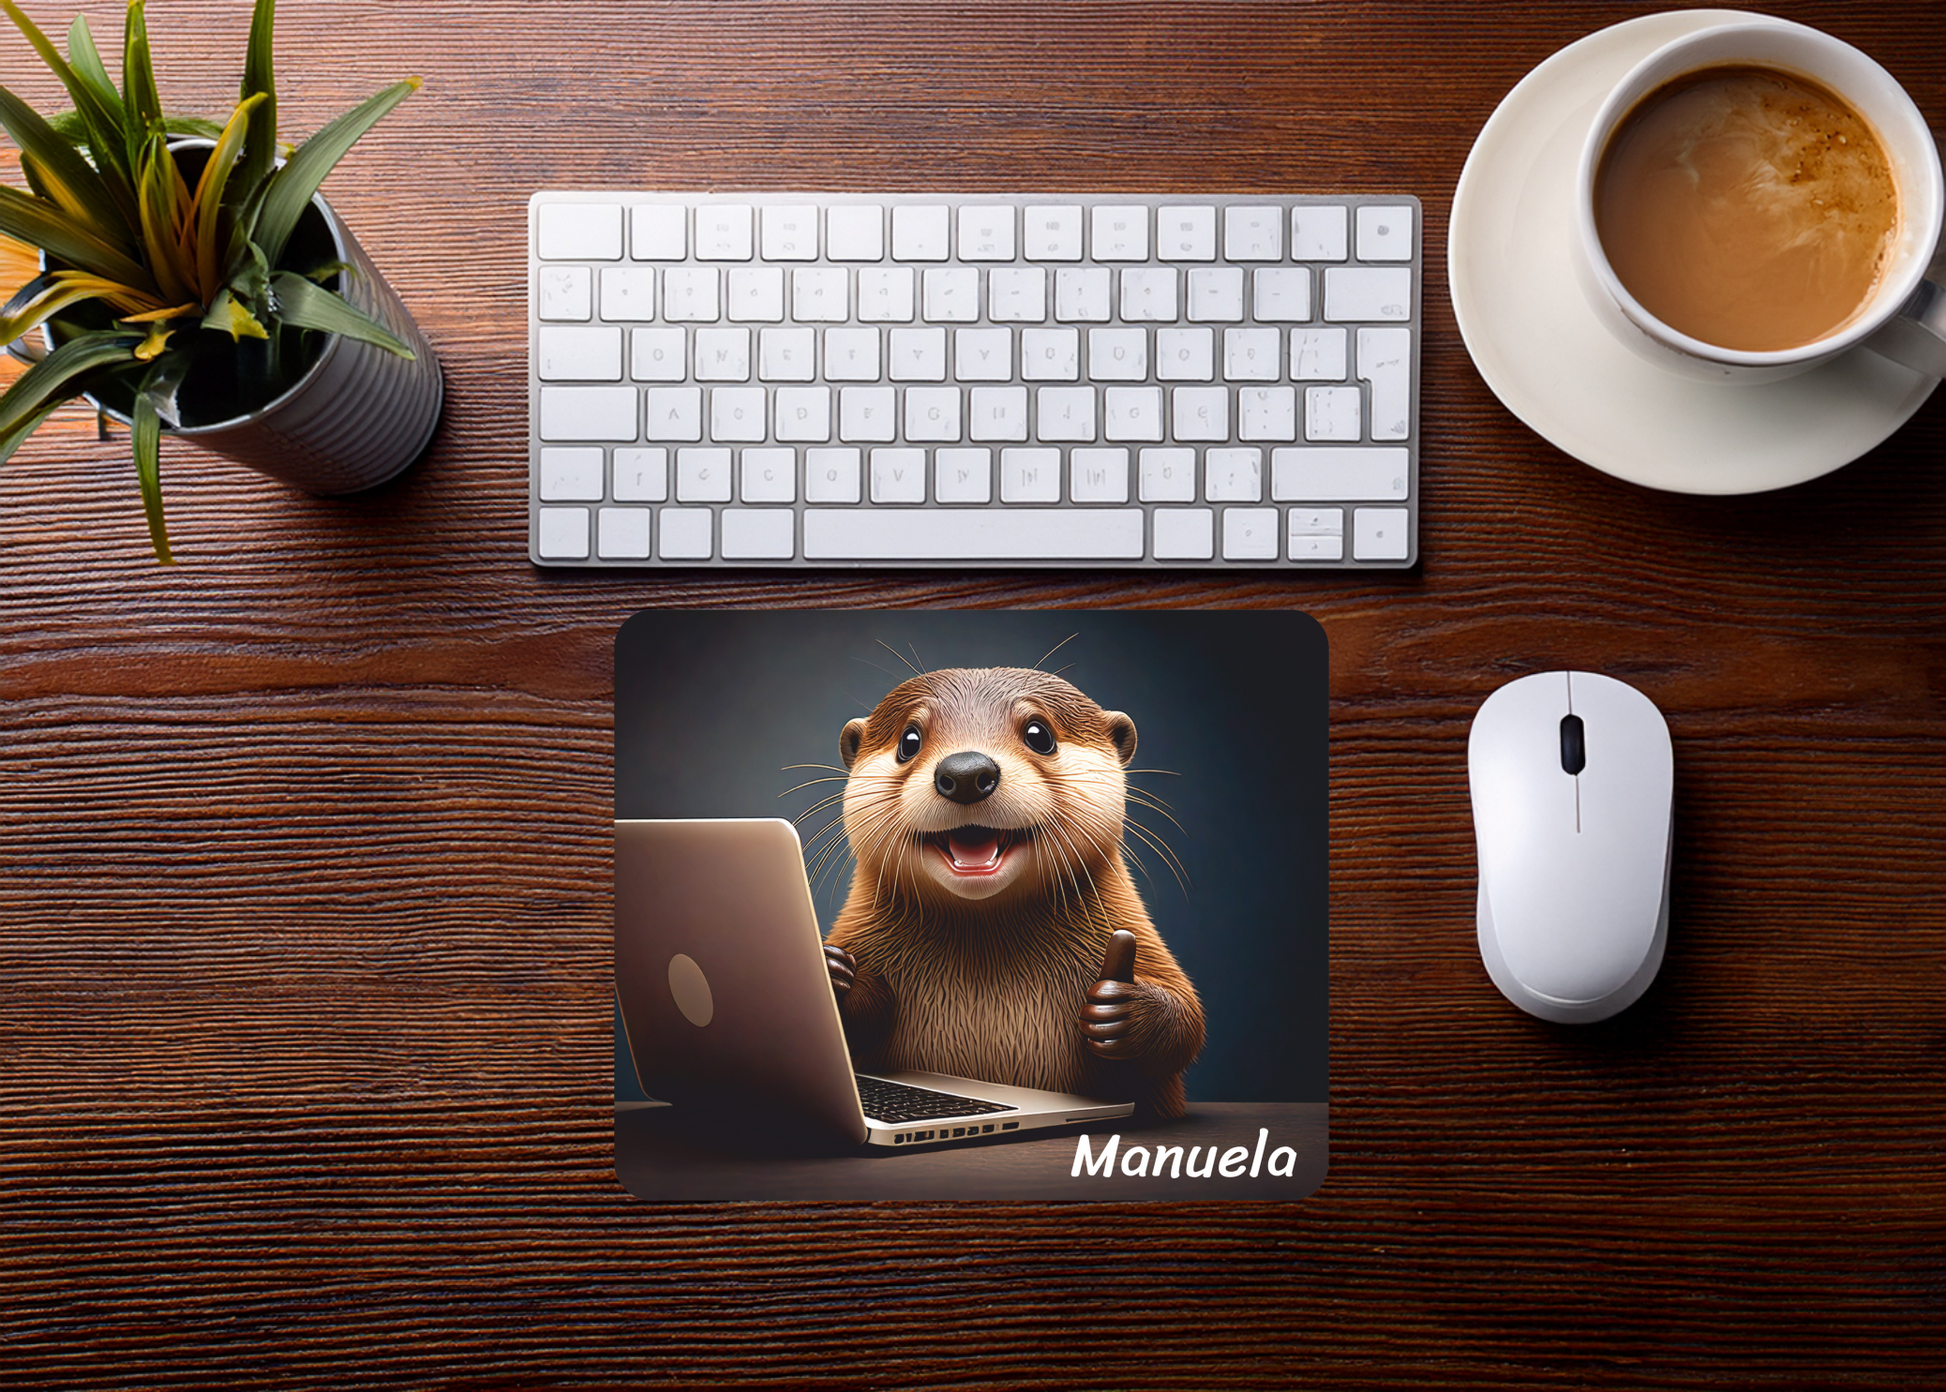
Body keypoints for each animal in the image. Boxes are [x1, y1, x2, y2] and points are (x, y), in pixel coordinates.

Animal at [819, 667, 1204, 1119]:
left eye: (1039, 734)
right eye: (908, 741)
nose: (966, 772)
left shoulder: (1138, 934)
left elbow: (1187, 1018)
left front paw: (1121, 1008)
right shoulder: (856, 933)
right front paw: (834, 974)